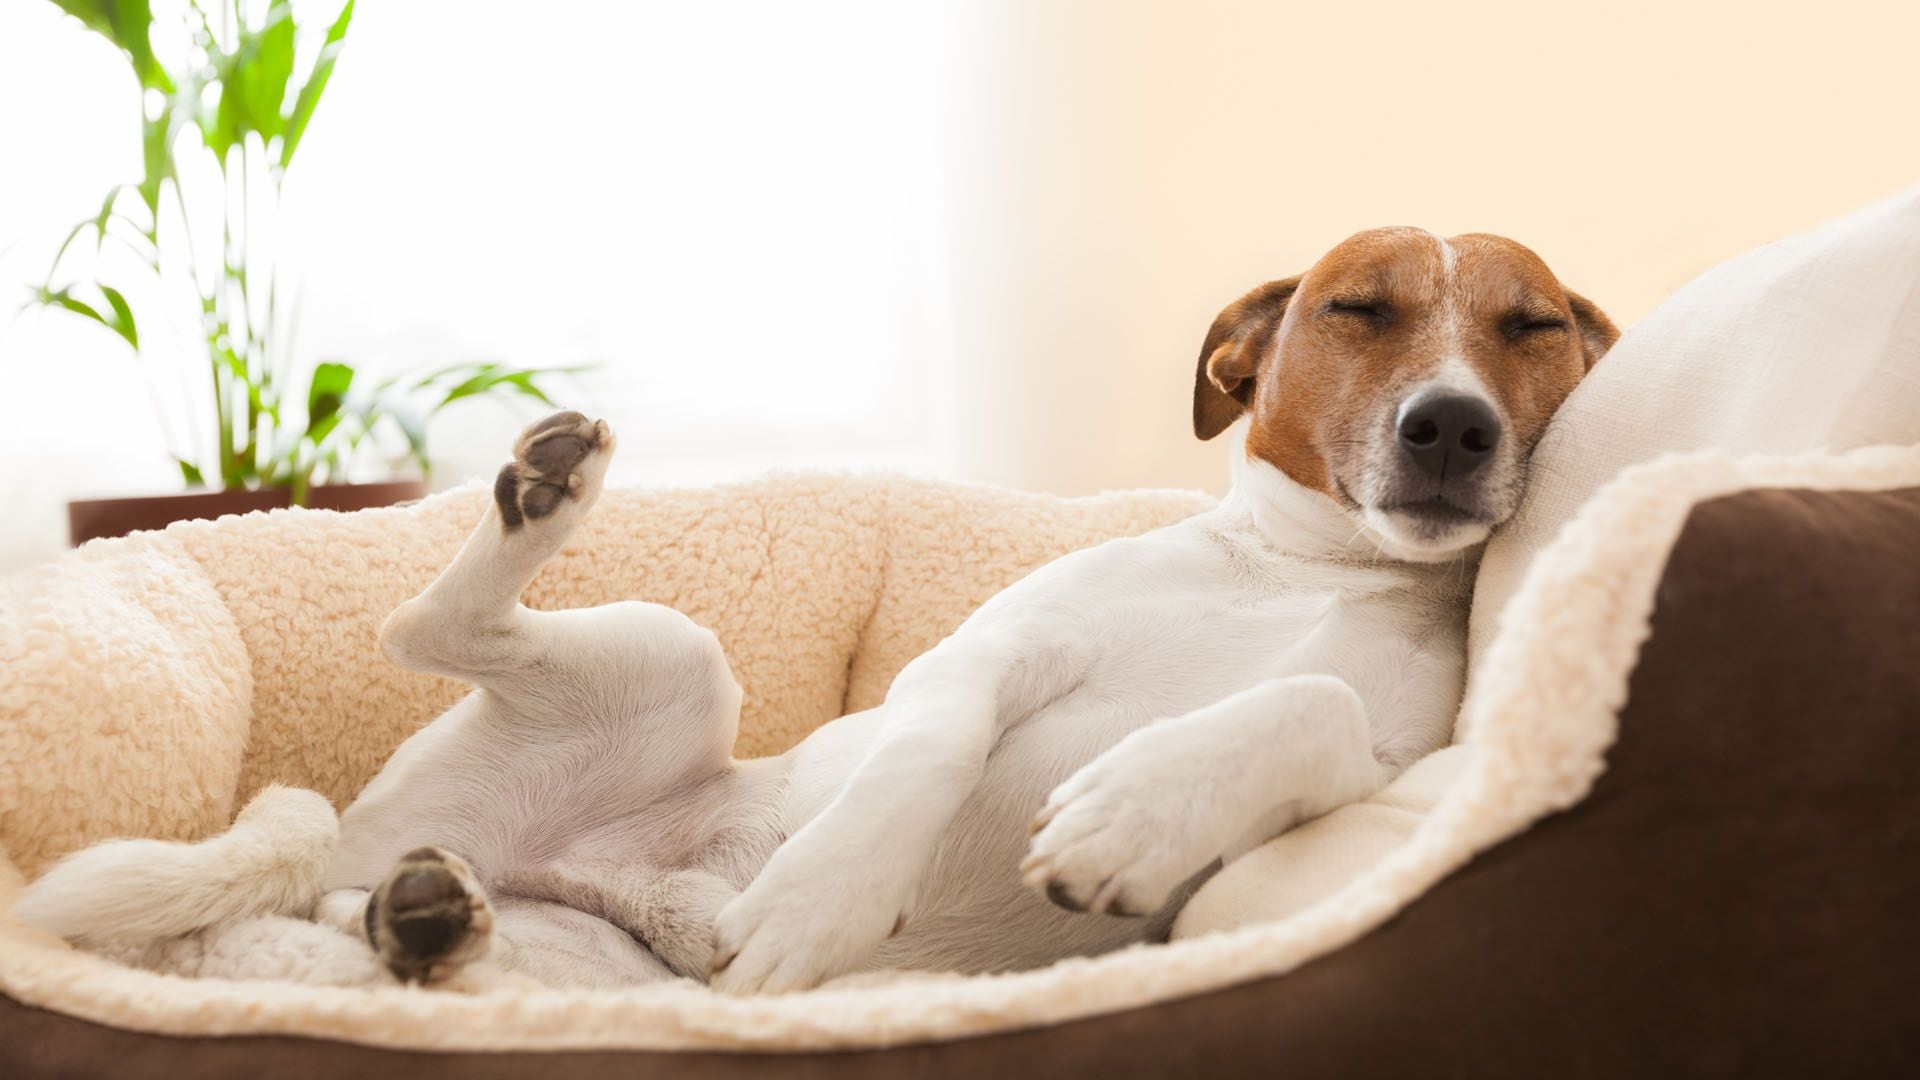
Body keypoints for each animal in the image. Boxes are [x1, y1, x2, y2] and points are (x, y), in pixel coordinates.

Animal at [15, 226, 1612, 991]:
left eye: (1530, 327)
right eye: (1359, 308)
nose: (1452, 427)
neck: (1308, 570)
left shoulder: (1392, 761)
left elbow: (1310, 699)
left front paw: (1136, 815)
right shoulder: (981, 655)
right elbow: (926, 747)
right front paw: (828, 894)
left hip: (581, 948)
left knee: (417, 920)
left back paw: (425, 929)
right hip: (677, 655)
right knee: (424, 631)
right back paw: (544, 496)